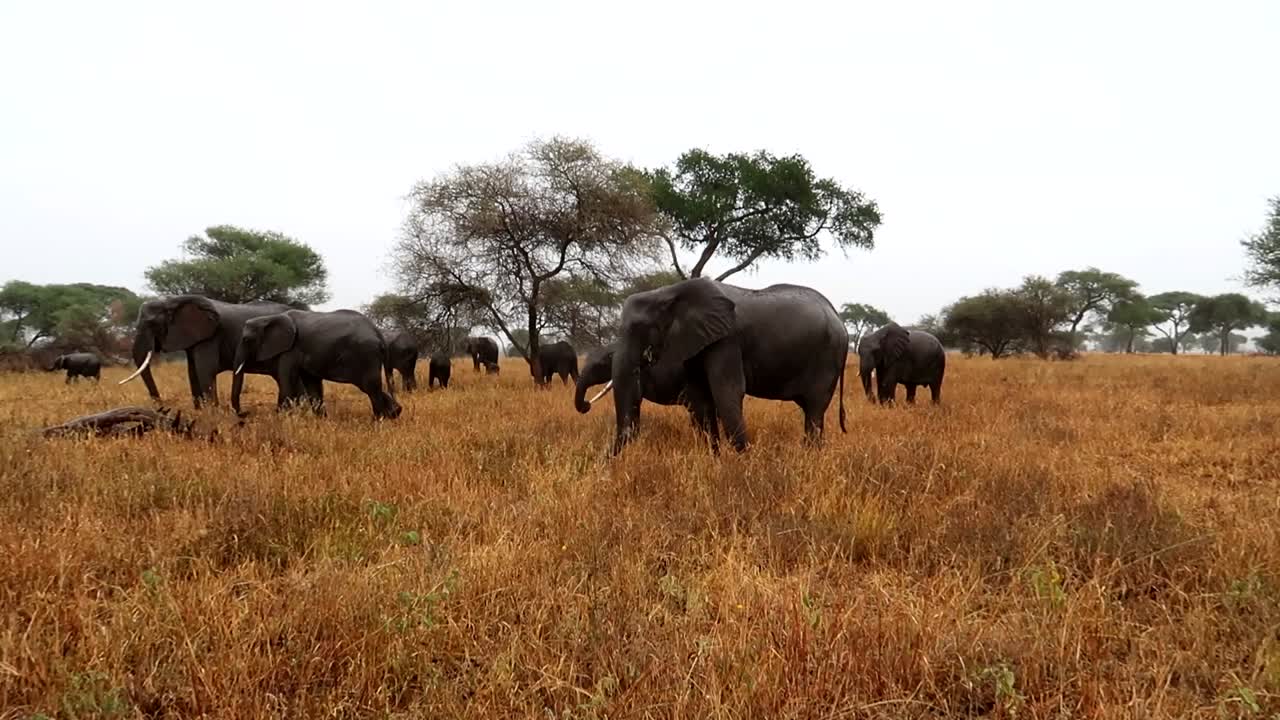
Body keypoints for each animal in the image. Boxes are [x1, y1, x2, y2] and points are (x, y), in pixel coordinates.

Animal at [120, 294, 295, 410]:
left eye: (152, 324)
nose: (161, 407)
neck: (170, 301)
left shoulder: (211, 336)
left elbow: (204, 369)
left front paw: (212, 412)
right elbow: (192, 372)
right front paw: (200, 411)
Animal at [232, 309, 402, 420]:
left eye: (246, 340)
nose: (245, 414)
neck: (269, 317)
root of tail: (378, 332)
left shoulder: (291, 349)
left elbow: (287, 381)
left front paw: (280, 419)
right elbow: (312, 384)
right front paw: (321, 421)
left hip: (366, 354)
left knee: (370, 386)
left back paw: (379, 420)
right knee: (371, 386)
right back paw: (394, 414)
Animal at [598, 277, 848, 455]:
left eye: (639, 329)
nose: (603, 462)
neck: (668, 292)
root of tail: (839, 318)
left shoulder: (726, 340)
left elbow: (726, 392)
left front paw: (743, 467)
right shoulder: (696, 341)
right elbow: (701, 400)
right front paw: (714, 461)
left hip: (827, 358)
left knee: (814, 411)